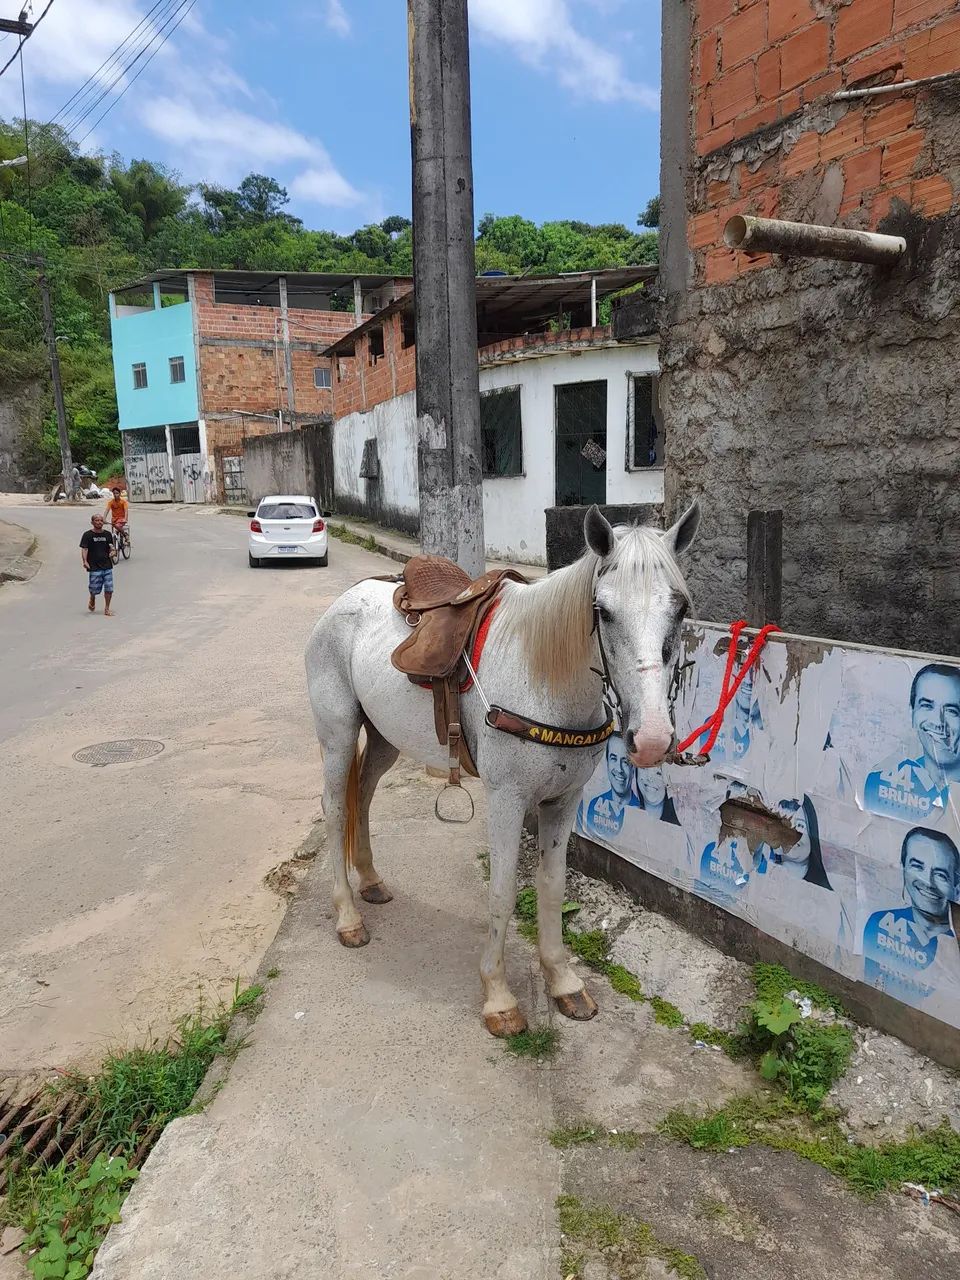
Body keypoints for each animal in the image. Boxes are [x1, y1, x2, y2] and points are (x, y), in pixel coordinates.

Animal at [305, 502, 700, 1036]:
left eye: (679, 608)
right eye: (602, 610)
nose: (654, 738)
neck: (545, 679)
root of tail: (345, 600)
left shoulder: (563, 802)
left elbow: (551, 888)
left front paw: (562, 981)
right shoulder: (507, 800)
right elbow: (502, 892)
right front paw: (498, 996)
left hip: (386, 738)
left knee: (361, 797)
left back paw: (369, 881)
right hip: (339, 735)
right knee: (334, 809)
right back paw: (347, 915)